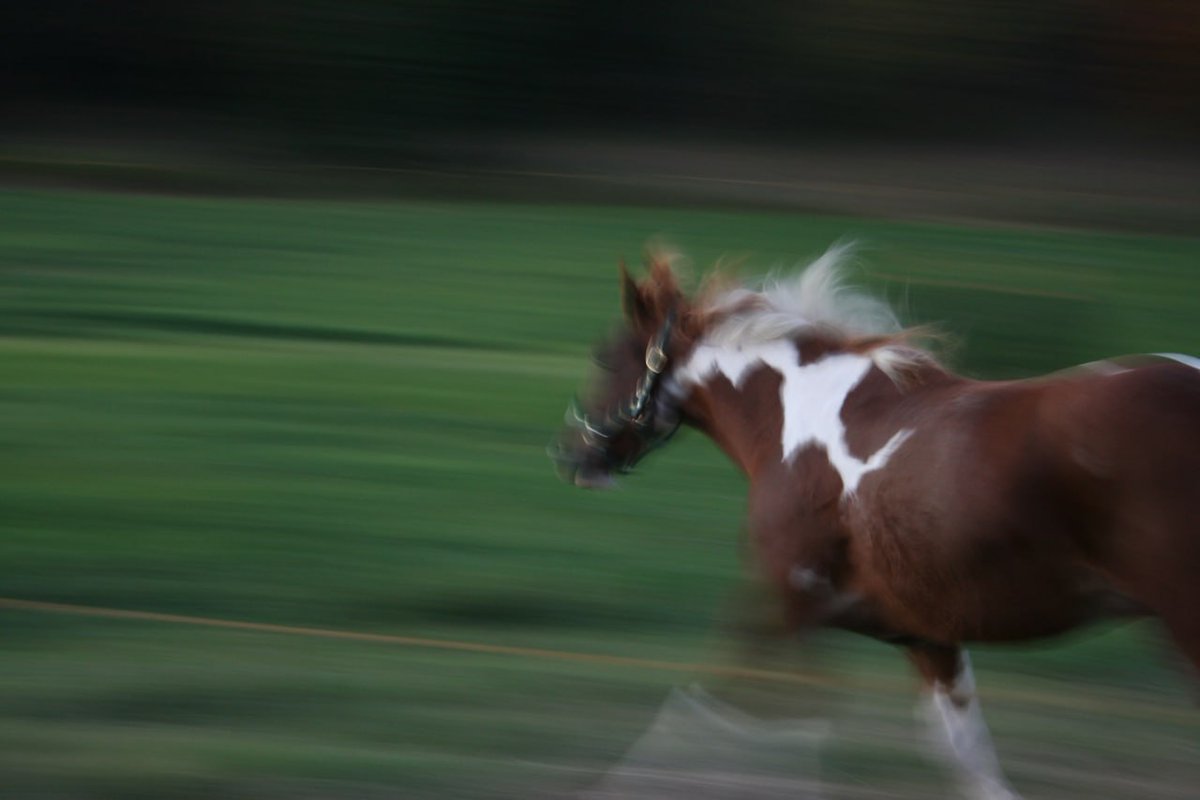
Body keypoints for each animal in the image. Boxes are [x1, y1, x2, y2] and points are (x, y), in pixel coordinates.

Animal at [550, 244, 1200, 800]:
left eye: (604, 355)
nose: (572, 457)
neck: (796, 421)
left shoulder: (785, 608)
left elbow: (707, 713)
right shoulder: (925, 636)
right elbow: (962, 754)